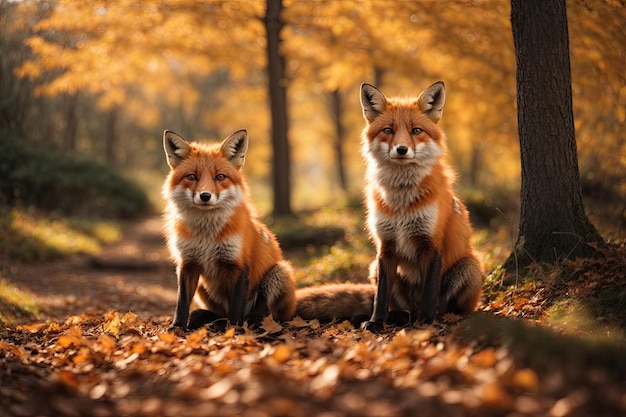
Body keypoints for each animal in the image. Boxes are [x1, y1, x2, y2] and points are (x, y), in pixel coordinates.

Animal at [162, 130, 296, 332]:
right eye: (192, 177)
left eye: (220, 177)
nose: (205, 196)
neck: (206, 236)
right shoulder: (187, 264)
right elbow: (182, 301)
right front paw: (177, 326)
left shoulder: (238, 264)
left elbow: (236, 306)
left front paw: (234, 329)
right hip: (203, 286)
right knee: (219, 313)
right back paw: (206, 319)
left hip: (280, 272)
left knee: (266, 313)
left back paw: (252, 321)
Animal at [356, 81, 482, 332]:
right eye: (388, 130)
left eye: (416, 131)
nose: (402, 149)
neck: (401, 204)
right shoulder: (385, 247)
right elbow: (380, 295)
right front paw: (376, 321)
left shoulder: (431, 244)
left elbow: (429, 291)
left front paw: (425, 321)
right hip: (374, 267)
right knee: (404, 307)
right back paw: (401, 316)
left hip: (469, 266)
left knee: (448, 307)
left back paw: (437, 317)